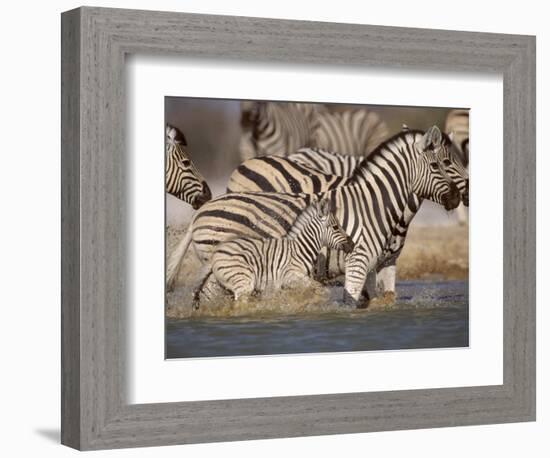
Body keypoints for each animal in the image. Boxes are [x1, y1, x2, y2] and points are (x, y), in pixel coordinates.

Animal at [166, 127, 468, 306]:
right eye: (440, 164)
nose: (457, 197)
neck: (375, 205)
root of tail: (201, 212)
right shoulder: (358, 262)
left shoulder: (385, 262)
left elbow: (385, 300)